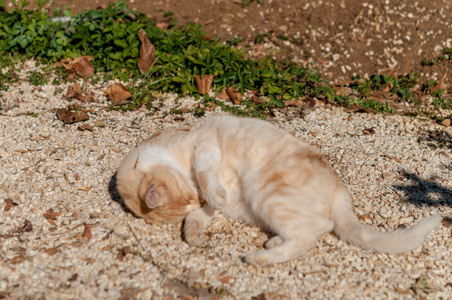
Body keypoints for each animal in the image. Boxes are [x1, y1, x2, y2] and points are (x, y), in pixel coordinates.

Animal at [116, 115, 442, 268]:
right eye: (187, 201)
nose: (200, 198)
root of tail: (339, 187)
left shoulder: (205, 144)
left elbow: (205, 172)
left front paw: (211, 193)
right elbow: (195, 219)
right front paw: (193, 235)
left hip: (267, 195)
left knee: (313, 232)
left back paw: (259, 258)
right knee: (313, 230)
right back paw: (271, 244)